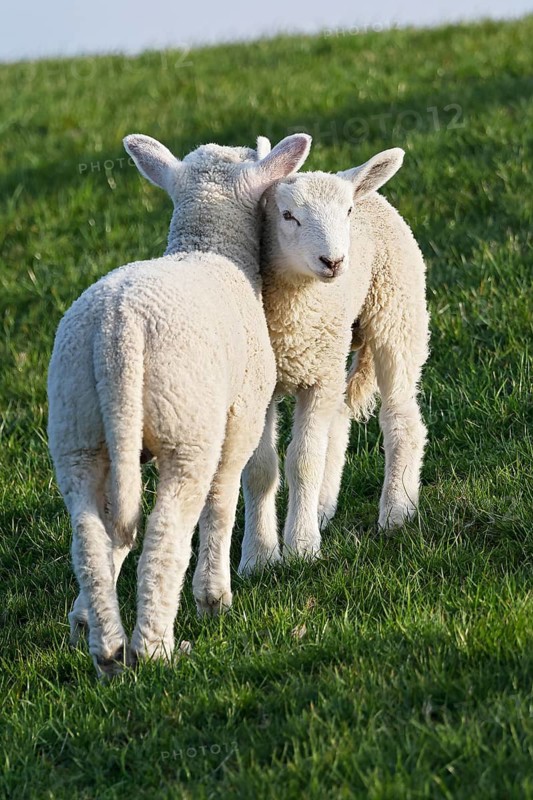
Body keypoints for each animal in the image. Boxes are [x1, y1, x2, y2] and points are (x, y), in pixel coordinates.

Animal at [47, 131, 311, 675]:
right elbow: (225, 498)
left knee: (88, 536)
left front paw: (80, 617)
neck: (206, 246)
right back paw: (157, 649)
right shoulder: (239, 417)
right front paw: (215, 597)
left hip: (75, 425)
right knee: (165, 535)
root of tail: (118, 328)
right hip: (185, 427)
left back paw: (107, 650)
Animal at [239, 142, 429, 573]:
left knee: (401, 418)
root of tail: (366, 187)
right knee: (338, 422)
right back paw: (323, 507)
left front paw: (301, 548)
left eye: (347, 212)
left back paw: (397, 510)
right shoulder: (267, 384)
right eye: (288, 215)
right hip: (341, 346)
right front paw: (259, 558)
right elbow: (260, 468)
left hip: (397, 311)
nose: (334, 262)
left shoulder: (318, 376)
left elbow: (303, 460)